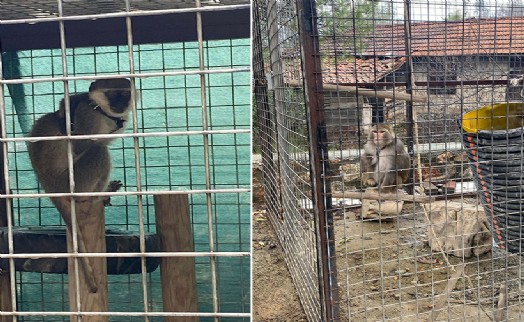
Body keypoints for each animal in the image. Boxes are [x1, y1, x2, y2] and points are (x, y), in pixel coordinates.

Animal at [27, 78, 133, 292]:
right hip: (74, 181)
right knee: (99, 151)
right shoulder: (88, 114)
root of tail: (50, 187)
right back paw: (97, 196)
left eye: (125, 94)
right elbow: (81, 145)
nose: (120, 105)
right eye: (112, 94)